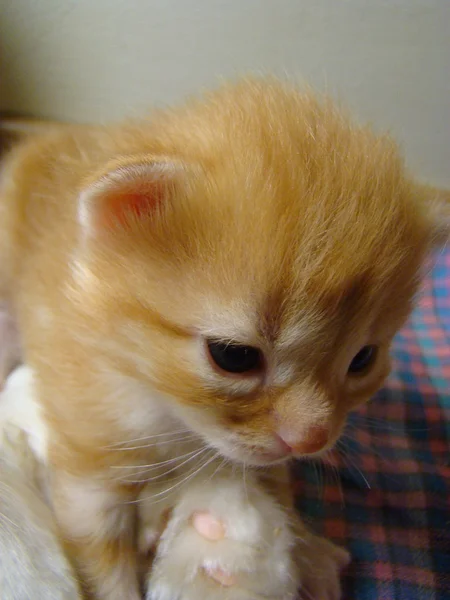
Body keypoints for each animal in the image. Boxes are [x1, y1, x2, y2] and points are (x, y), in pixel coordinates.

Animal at [0, 79, 446, 600]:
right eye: (234, 356)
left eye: (363, 360)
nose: (312, 439)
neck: (167, 410)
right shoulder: (86, 460)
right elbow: (102, 559)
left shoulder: (259, 454)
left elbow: (273, 485)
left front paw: (306, 551)